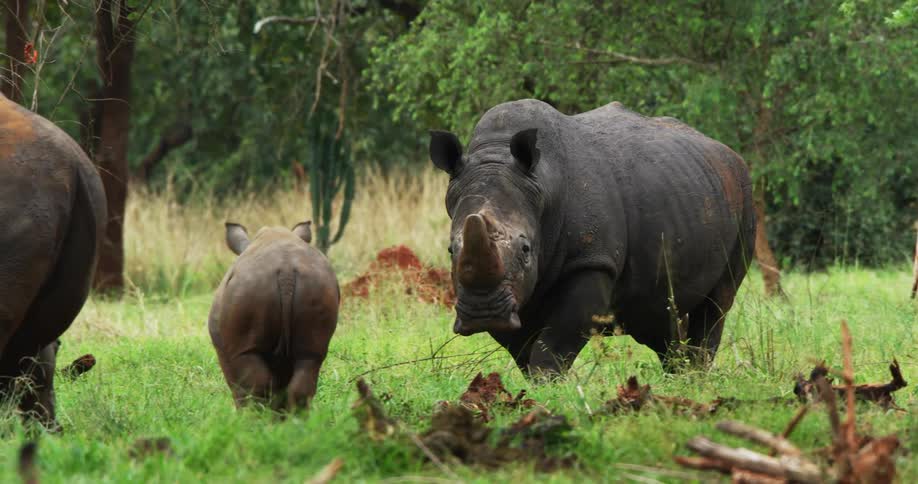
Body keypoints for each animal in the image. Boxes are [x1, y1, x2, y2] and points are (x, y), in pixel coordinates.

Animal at [209, 221, 340, 410]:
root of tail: (286, 271)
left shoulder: (226, 352)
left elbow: (237, 383)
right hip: (317, 285)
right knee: (310, 359)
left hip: (251, 288)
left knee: (252, 375)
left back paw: (255, 417)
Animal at [430, 99, 755, 376]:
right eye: (451, 250)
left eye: (525, 248)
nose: (482, 313)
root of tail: (729, 153)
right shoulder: (510, 290)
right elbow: (522, 348)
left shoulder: (591, 261)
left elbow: (555, 343)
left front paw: (546, 387)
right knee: (657, 312)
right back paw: (680, 377)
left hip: (743, 196)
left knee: (716, 304)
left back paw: (696, 377)